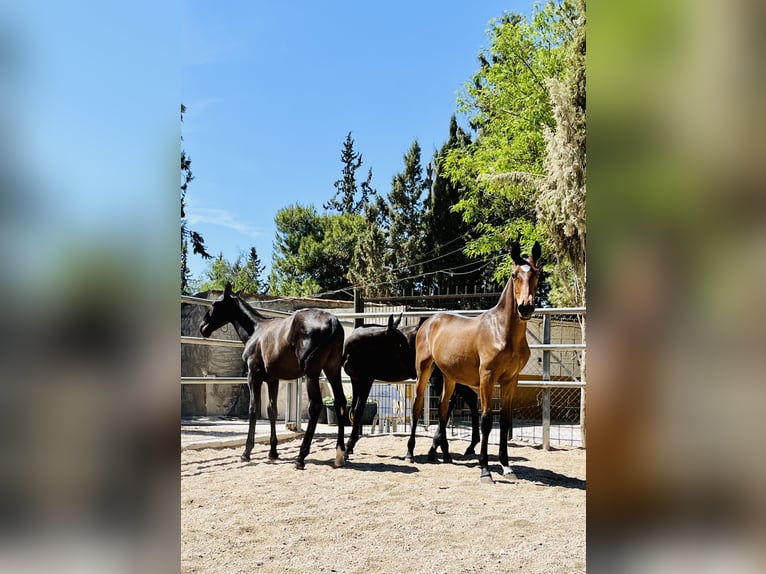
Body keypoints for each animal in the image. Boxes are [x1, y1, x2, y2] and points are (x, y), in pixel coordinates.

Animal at [202, 282, 350, 470]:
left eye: (215, 304)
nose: (203, 327)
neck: (255, 331)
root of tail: (333, 321)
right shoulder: (273, 380)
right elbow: (272, 410)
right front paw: (273, 452)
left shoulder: (254, 377)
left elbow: (253, 409)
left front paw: (246, 453)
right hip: (333, 370)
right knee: (340, 402)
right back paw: (340, 455)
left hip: (312, 373)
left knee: (316, 405)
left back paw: (300, 457)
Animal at [404, 241, 544, 484]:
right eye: (514, 274)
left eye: (535, 274)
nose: (525, 307)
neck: (502, 331)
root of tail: (429, 321)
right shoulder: (487, 377)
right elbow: (487, 420)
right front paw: (485, 470)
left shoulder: (511, 380)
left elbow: (504, 421)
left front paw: (507, 466)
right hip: (424, 371)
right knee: (417, 406)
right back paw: (411, 453)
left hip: (449, 377)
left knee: (443, 408)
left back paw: (444, 455)